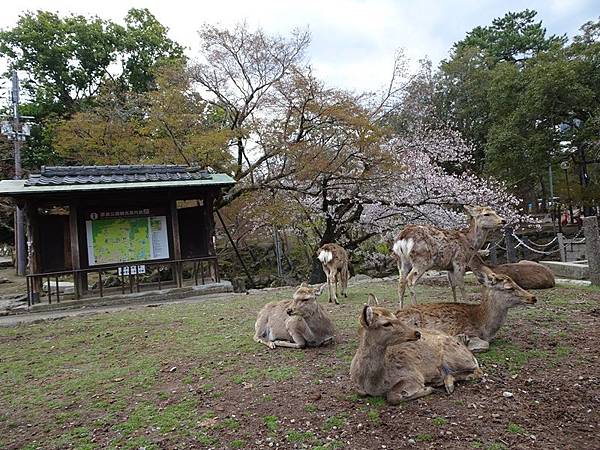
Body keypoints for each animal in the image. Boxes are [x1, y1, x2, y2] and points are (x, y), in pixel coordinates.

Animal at [350, 300, 480, 402]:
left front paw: (427, 389)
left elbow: (392, 396)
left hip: (456, 358)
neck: (373, 384)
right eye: (386, 323)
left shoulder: (413, 375)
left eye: (395, 317)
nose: (417, 333)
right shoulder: (358, 387)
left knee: (478, 371)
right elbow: (360, 392)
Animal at [390, 268, 540, 354]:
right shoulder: (466, 329)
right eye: (509, 288)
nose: (533, 297)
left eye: (516, 283)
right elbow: (485, 344)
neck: (484, 326)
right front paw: (464, 343)